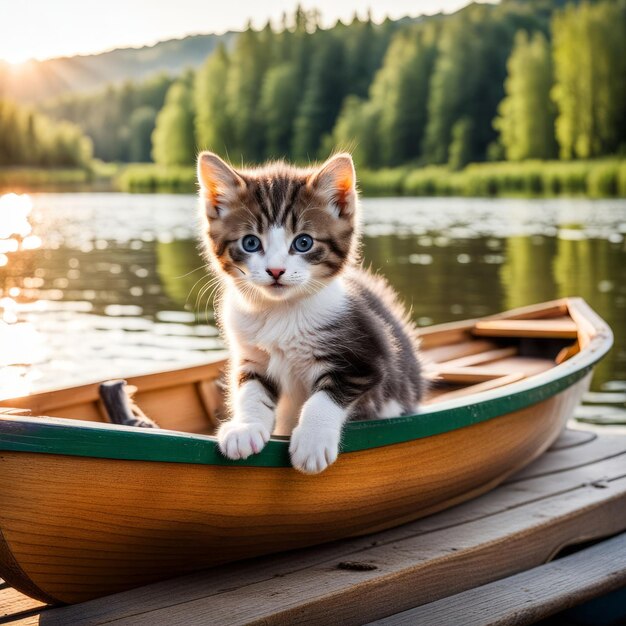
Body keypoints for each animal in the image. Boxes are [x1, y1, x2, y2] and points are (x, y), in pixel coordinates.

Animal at [197, 151, 422, 472]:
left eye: (303, 242)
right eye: (250, 243)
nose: (275, 270)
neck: (281, 312)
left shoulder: (366, 358)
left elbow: (326, 397)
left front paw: (312, 440)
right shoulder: (252, 355)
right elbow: (250, 390)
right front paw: (245, 427)